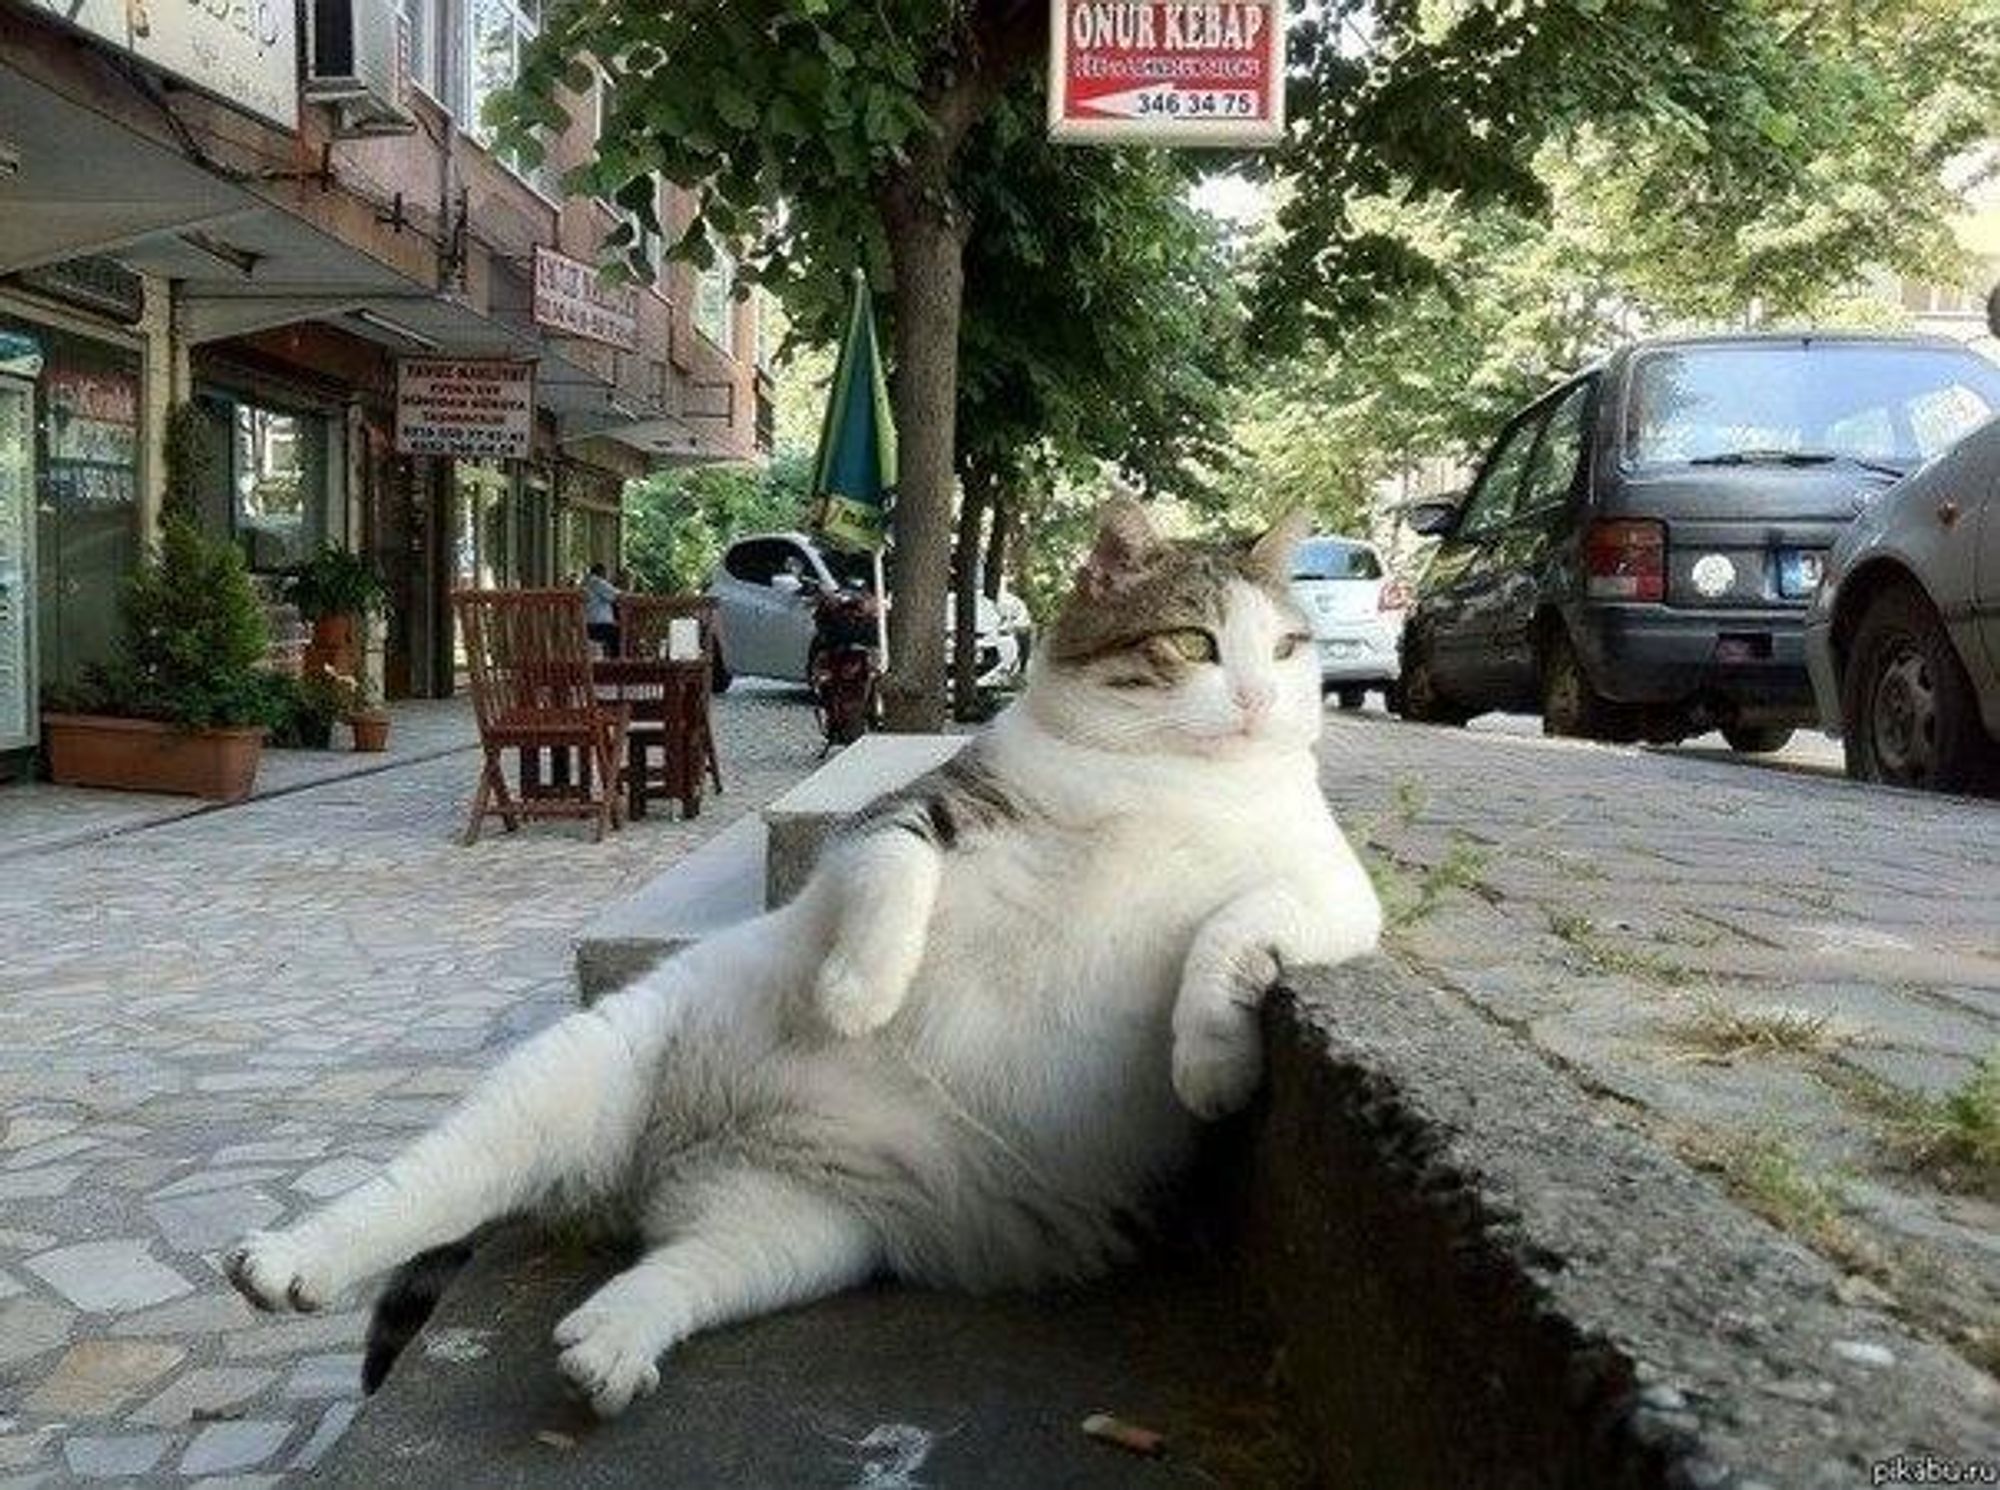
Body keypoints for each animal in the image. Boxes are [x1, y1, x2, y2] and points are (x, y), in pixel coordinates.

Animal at [219, 500, 1376, 1416]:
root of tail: (654, 1165)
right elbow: (893, 872)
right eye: (1193, 641)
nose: (1259, 700)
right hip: (582, 1068)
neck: (1167, 785)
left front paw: (1210, 1063)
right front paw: (858, 995)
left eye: (1285, 647)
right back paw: (291, 1260)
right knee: (427, 1183)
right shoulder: (907, 812)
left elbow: (1239, 923)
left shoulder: (1334, 893)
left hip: (799, 1229)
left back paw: (609, 1341)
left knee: (673, 1269)